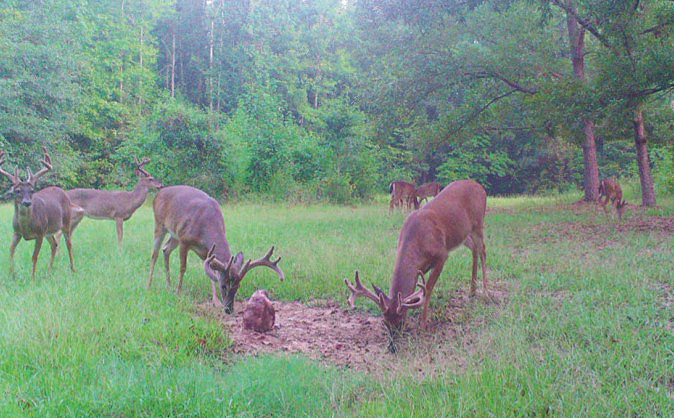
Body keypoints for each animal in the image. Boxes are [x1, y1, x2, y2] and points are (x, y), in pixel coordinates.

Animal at [0, 149, 78, 280]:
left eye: (32, 190)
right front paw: (12, 275)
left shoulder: (40, 233)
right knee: (54, 244)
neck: (26, 227)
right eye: (17, 191)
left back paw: (72, 270)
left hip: (65, 222)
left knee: (69, 244)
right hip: (49, 230)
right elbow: (10, 250)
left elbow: (34, 256)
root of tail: (64, 192)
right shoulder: (16, 232)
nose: (27, 202)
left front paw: (32, 278)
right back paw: (48, 272)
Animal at [147, 186, 284, 314]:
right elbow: (183, 268)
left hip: (174, 235)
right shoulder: (184, 240)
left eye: (238, 287)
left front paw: (216, 301)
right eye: (223, 286)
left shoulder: (205, 251)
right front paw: (178, 293)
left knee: (166, 249)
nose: (229, 309)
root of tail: (158, 194)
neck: (207, 225)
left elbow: (211, 272)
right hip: (160, 225)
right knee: (154, 254)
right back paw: (149, 286)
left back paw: (168, 286)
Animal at [344, 178, 486, 352]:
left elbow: (428, 290)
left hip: (478, 222)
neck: (415, 241)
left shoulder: (442, 255)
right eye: (384, 322)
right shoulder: (421, 267)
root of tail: (480, 187)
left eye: (401, 321)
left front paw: (423, 325)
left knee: (483, 250)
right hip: (463, 234)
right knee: (474, 249)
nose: (392, 347)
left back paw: (486, 291)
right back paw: (472, 291)